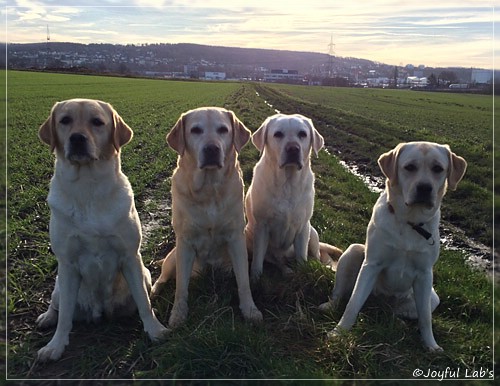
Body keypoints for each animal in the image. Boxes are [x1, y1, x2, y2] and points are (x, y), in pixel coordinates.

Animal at [36, 98, 168, 360]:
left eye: (97, 122)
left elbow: (144, 303)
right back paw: (47, 317)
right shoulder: (67, 263)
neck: (88, 186)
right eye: (65, 120)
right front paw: (56, 346)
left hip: (145, 274)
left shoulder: (130, 257)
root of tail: (100, 311)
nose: (77, 138)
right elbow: (65, 317)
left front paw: (155, 330)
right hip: (59, 283)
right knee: (58, 306)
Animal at [151, 107, 262, 328]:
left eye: (223, 129)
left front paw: (250, 310)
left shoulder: (236, 239)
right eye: (195, 130)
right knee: (163, 278)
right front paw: (178, 315)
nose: (211, 149)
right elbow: (180, 287)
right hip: (173, 258)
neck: (209, 188)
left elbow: (244, 281)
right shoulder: (184, 242)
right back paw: (152, 293)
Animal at [245, 113, 344, 278]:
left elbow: (302, 257)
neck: (288, 183)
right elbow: (258, 259)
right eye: (278, 134)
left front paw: (303, 272)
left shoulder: (303, 227)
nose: (293, 149)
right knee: (276, 260)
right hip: (248, 235)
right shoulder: (261, 226)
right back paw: (287, 270)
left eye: (302, 134)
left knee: (317, 256)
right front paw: (255, 278)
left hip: (313, 233)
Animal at [322, 142, 466, 352]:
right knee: (341, 295)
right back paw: (329, 306)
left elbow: (425, 319)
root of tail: (378, 302)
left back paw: (398, 322)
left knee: (397, 312)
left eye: (438, 168)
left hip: (432, 297)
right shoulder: (371, 265)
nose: (424, 188)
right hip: (353, 251)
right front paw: (339, 332)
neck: (410, 221)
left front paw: (431, 345)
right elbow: (353, 302)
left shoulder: (425, 274)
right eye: (409, 167)